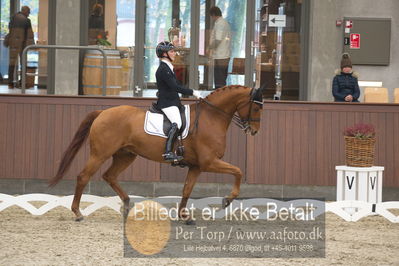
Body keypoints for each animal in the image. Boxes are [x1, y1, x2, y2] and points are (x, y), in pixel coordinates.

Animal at [50, 85, 264, 220]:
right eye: (255, 107)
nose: (254, 131)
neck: (211, 117)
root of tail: (102, 113)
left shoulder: (196, 166)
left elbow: (187, 189)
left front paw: (184, 216)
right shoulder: (209, 162)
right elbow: (238, 171)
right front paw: (228, 200)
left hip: (126, 155)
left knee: (109, 176)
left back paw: (127, 205)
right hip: (100, 154)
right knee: (83, 176)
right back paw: (78, 213)